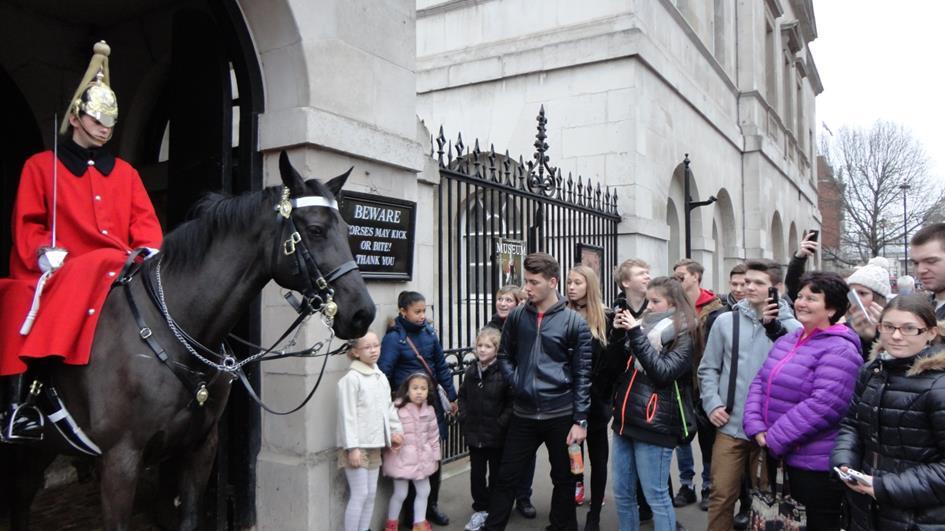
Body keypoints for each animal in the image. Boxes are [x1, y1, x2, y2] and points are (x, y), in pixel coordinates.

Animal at [0, 152, 376, 528]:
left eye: (347, 230)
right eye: (315, 230)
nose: (363, 313)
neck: (174, 332)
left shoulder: (199, 448)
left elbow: (191, 517)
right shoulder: (120, 460)